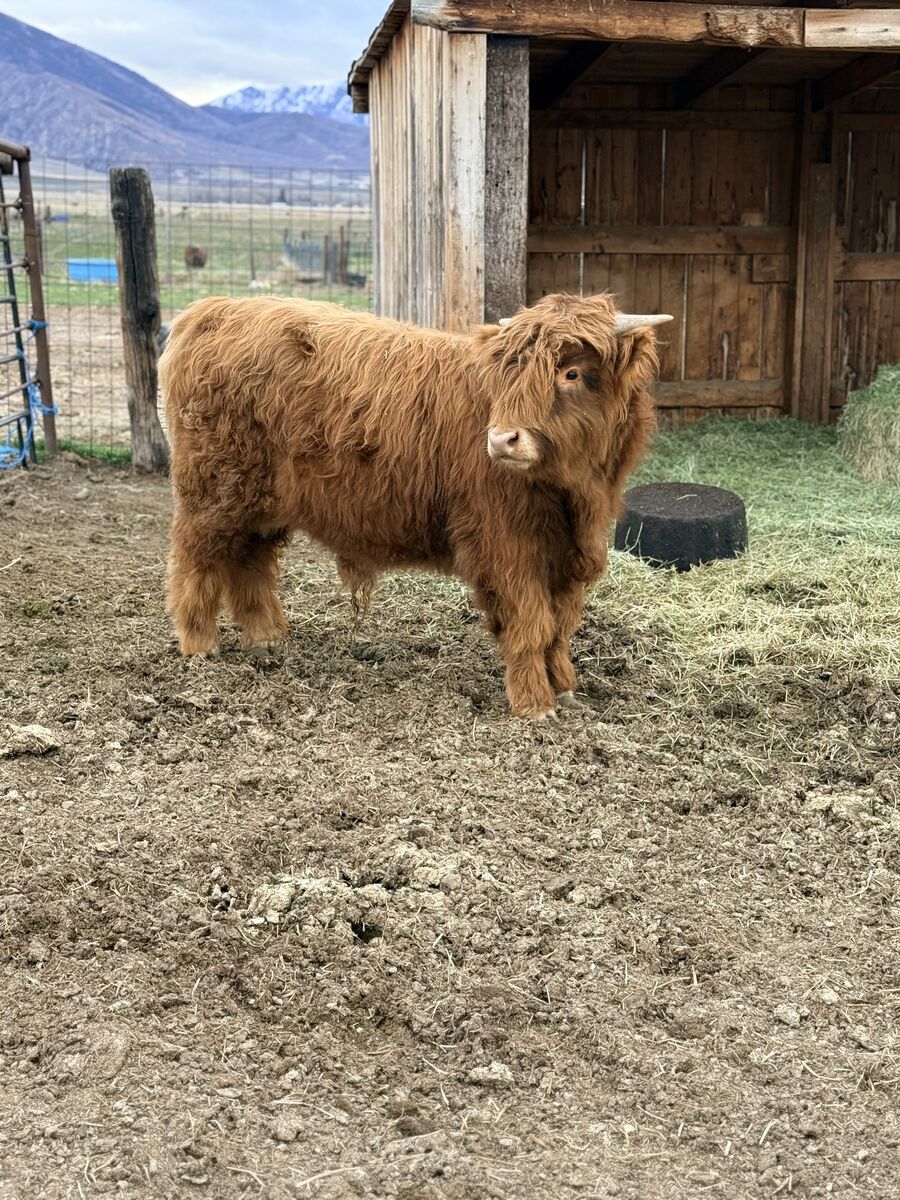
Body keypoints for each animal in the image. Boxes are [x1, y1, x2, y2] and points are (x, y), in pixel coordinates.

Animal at [158, 293, 671, 718]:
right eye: (511, 373)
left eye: (572, 373)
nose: (501, 439)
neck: (573, 494)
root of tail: (210, 310)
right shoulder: (506, 545)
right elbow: (531, 623)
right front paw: (534, 704)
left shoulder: (569, 551)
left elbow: (560, 626)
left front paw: (565, 687)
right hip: (214, 491)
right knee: (196, 558)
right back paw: (200, 644)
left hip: (262, 504)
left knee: (250, 560)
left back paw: (265, 641)